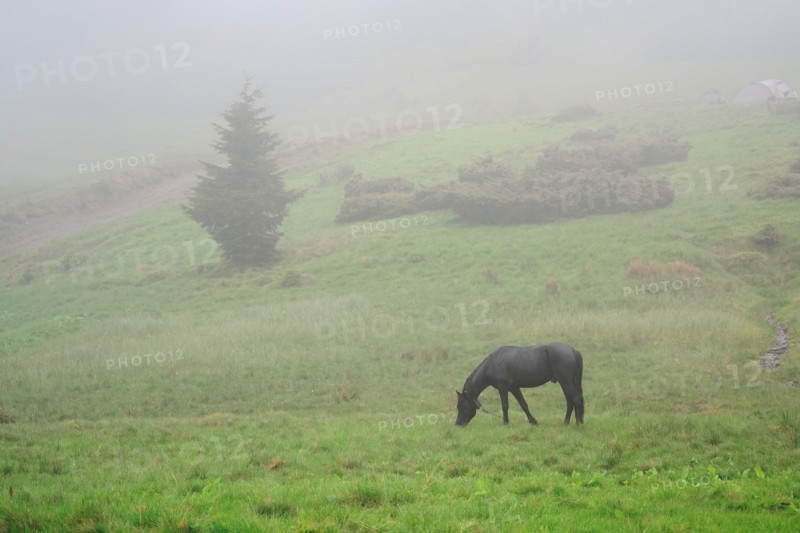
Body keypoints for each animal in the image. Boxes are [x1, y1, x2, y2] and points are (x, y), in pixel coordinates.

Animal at [455, 342, 584, 426]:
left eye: (462, 405)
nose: (458, 423)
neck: (493, 363)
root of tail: (573, 350)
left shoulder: (503, 388)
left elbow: (505, 406)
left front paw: (505, 423)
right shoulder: (514, 388)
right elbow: (523, 405)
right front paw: (533, 421)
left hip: (566, 382)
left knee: (576, 399)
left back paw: (578, 424)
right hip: (567, 383)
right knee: (570, 401)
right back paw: (566, 423)